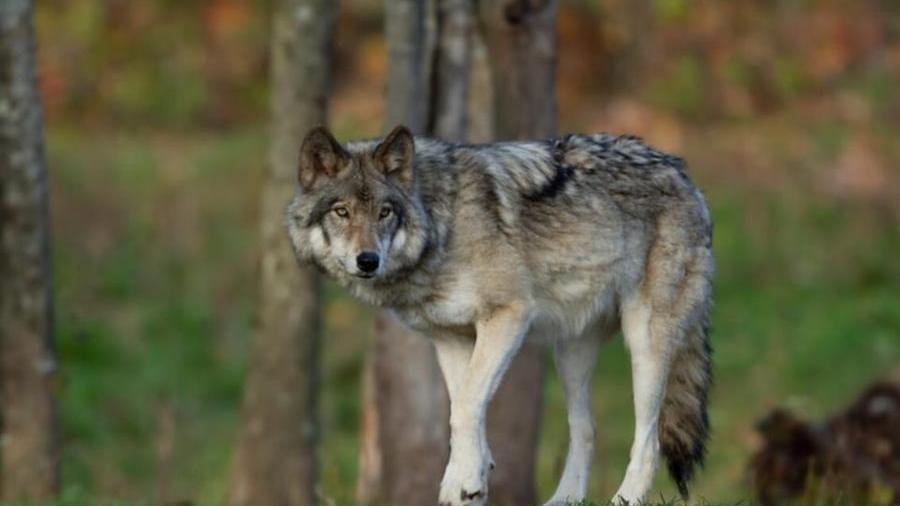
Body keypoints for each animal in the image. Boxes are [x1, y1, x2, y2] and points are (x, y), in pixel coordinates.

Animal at [286, 125, 714, 506]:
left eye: (385, 212)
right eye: (342, 212)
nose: (368, 260)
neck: (442, 225)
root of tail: (684, 174)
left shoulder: (508, 316)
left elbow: (465, 409)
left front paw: (462, 481)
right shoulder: (452, 338)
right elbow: (464, 408)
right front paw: (471, 481)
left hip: (645, 345)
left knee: (649, 439)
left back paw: (625, 498)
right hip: (570, 355)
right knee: (585, 429)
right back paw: (564, 500)